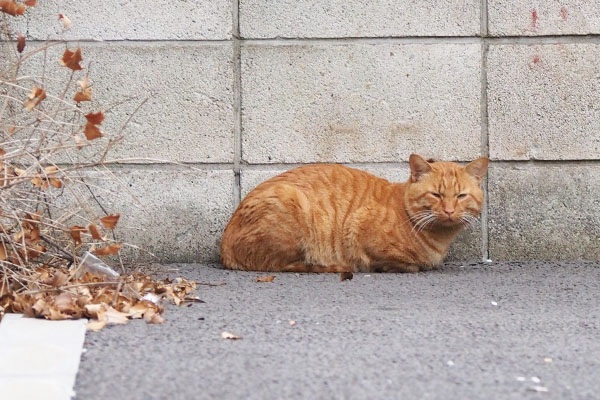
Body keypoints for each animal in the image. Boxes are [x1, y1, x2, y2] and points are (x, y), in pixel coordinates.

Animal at [220, 155, 488, 274]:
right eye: (436, 195)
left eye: (461, 196)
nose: (449, 211)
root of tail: (224, 246)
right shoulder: (359, 227)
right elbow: (404, 265)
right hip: (292, 206)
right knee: (279, 265)